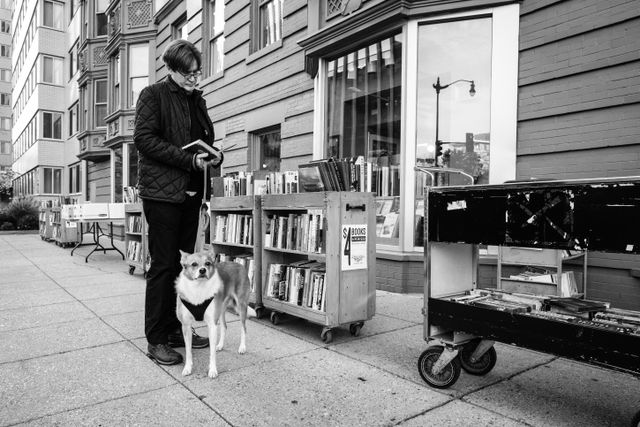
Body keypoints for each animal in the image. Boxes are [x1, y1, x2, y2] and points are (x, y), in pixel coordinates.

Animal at [176, 249, 256, 380]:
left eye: (208, 263)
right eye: (194, 264)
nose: (202, 270)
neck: (199, 288)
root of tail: (238, 264)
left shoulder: (212, 325)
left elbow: (212, 353)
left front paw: (212, 370)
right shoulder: (186, 326)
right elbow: (188, 351)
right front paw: (187, 368)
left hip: (241, 306)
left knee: (243, 328)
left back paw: (242, 347)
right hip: (222, 309)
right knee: (224, 326)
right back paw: (220, 345)